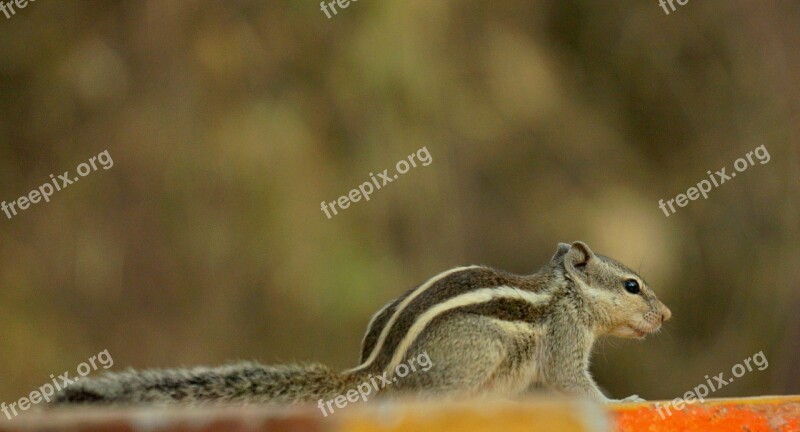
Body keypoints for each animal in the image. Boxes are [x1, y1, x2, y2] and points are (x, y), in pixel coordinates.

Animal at [53, 241, 672, 406]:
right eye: (632, 285)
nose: (666, 315)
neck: (565, 293)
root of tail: (373, 370)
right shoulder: (564, 343)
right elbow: (575, 384)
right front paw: (625, 402)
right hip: (473, 359)